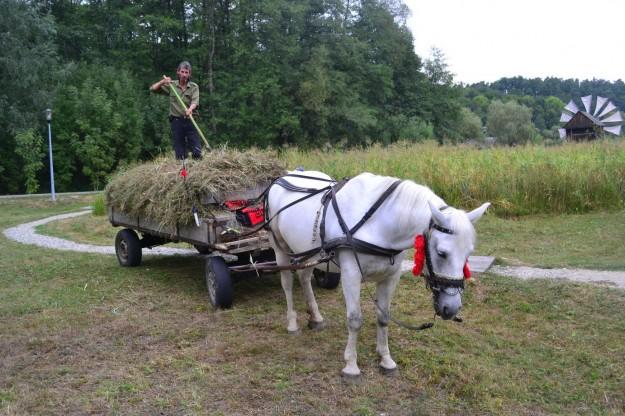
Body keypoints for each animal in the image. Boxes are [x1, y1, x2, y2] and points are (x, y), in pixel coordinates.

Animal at [264, 169, 488, 376]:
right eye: (442, 253)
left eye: (469, 253)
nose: (452, 308)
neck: (378, 223)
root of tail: (285, 176)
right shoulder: (351, 274)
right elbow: (355, 319)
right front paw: (351, 365)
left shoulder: (391, 277)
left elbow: (384, 317)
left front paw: (386, 359)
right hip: (280, 248)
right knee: (287, 283)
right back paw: (292, 323)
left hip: (307, 251)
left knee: (304, 277)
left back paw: (316, 317)